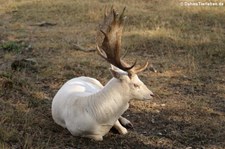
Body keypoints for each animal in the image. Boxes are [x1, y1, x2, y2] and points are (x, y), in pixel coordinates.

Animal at [51, 7, 154, 141]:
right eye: (135, 84)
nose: (152, 94)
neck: (100, 118)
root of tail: (77, 77)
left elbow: (122, 129)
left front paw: (124, 126)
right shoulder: (75, 130)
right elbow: (100, 137)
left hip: (98, 84)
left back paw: (127, 122)